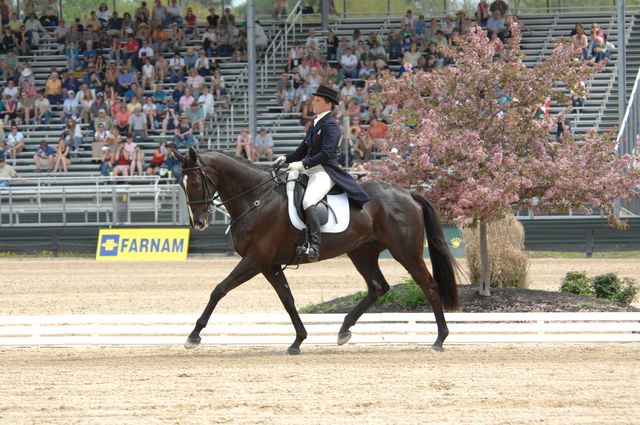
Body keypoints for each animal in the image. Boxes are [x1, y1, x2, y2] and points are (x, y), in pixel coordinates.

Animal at [172, 147, 458, 352]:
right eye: (181, 185)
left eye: (195, 182)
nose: (199, 223)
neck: (257, 200)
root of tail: (408, 194)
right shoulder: (270, 265)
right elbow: (287, 300)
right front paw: (298, 341)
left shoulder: (255, 260)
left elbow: (219, 290)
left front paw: (193, 336)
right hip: (362, 252)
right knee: (378, 287)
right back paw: (343, 330)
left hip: (405, 251)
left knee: (429, 286)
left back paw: (440, 339)